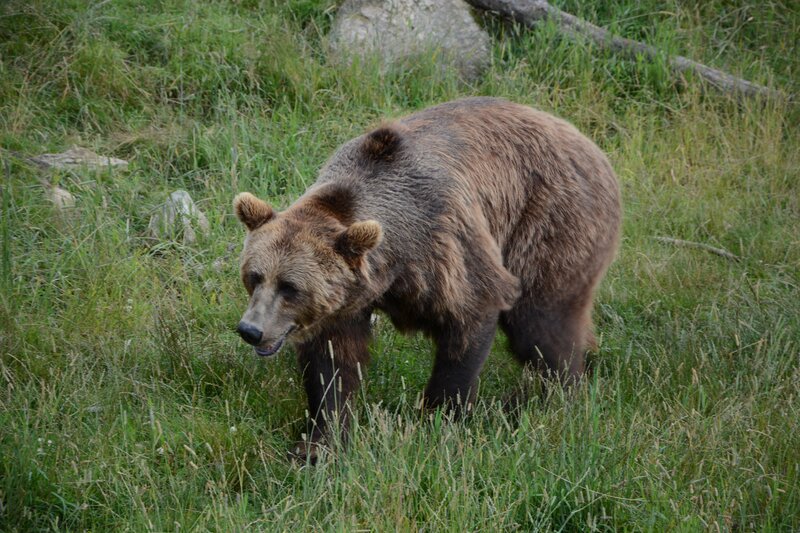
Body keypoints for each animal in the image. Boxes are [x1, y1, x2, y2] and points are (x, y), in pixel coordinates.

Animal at [233, 97, 621, 460]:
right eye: (254, 277)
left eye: (290, 287)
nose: (251, 330)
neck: (394, 264)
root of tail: (591, 146)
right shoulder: (345, 301)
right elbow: (332, 363)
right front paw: (318, 444)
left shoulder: (445, 247)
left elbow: (469, 322)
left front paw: (438, 419)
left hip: (549, 222)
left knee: (540, 324)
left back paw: (550, 397)